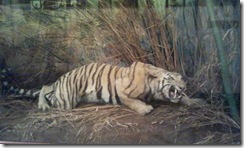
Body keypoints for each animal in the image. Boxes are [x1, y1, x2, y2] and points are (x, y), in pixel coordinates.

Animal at [0, 61, 203, 115]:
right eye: (172, 78)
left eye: (182, 78)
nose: (184, 85)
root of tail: (61, 79)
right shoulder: (121, 88)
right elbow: (132, 101)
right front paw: (144, 109)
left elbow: (183, 98)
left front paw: (194, 101)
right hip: (66, 100)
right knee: (44, 88)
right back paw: (42, 105)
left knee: (45, 86)